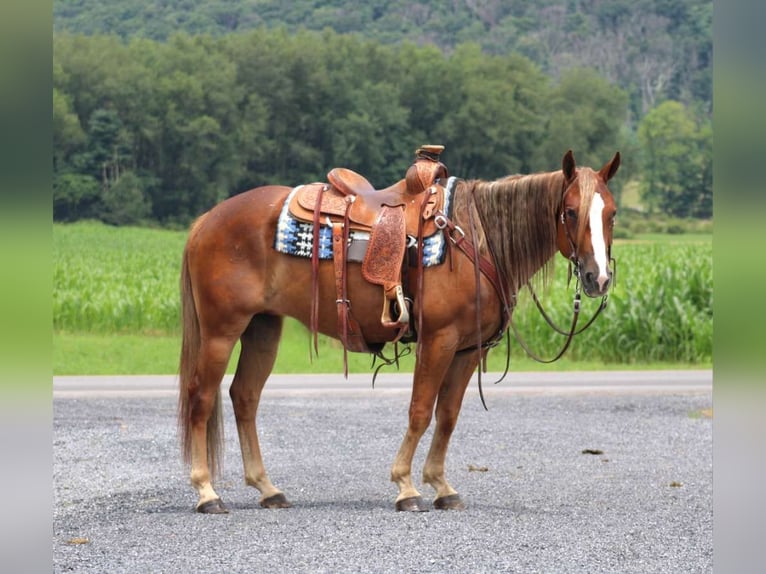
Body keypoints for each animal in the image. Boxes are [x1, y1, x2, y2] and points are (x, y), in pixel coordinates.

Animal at [177, 148, 620, 512]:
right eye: (570, 211)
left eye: (611, 213)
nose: (598, 278)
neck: (478, 238)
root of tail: (206, 220)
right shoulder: (439, 340)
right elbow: (420, 411)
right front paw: (406, 486)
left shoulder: (468, 350)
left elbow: (448, 415)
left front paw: (442, 486)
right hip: (221, 331)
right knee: (201, 398)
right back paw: (206, 492)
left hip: (263, 328)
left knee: (244, 397)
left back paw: (268, 489)